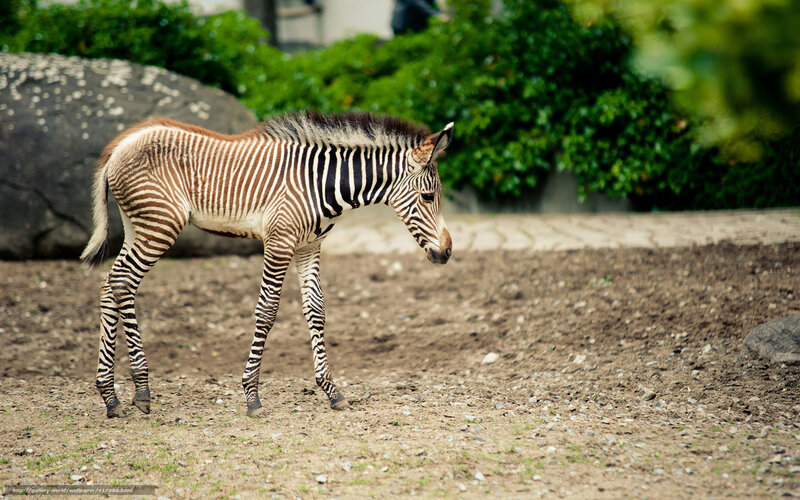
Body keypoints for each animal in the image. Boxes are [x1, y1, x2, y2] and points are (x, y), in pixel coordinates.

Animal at [80, 111, 453, 418]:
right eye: (428, 197)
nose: (448, 252)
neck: (322, 184)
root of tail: (120, 144)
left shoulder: (308, 247)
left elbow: (316, 310)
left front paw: (331, 391)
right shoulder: (279, 242)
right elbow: (267, 310)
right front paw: (252, 396)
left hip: (138, 225)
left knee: (111, 285)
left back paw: (111, 397)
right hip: (160, 224)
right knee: (123, 282)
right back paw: (141, 391)